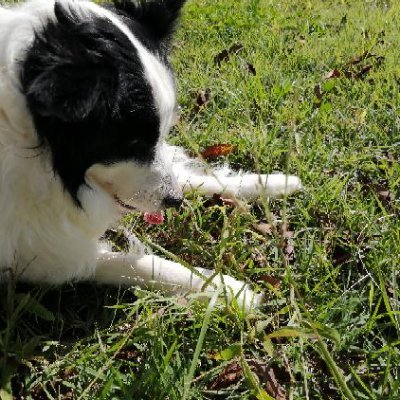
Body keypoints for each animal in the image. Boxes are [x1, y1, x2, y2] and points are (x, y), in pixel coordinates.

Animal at [0, 0, 300, 310]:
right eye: (132, 141)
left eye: (162, 132)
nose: (175, 201)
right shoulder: (41, 251)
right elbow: (139, 264)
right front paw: (228, 290)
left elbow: (195, 176)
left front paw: (272, 184)